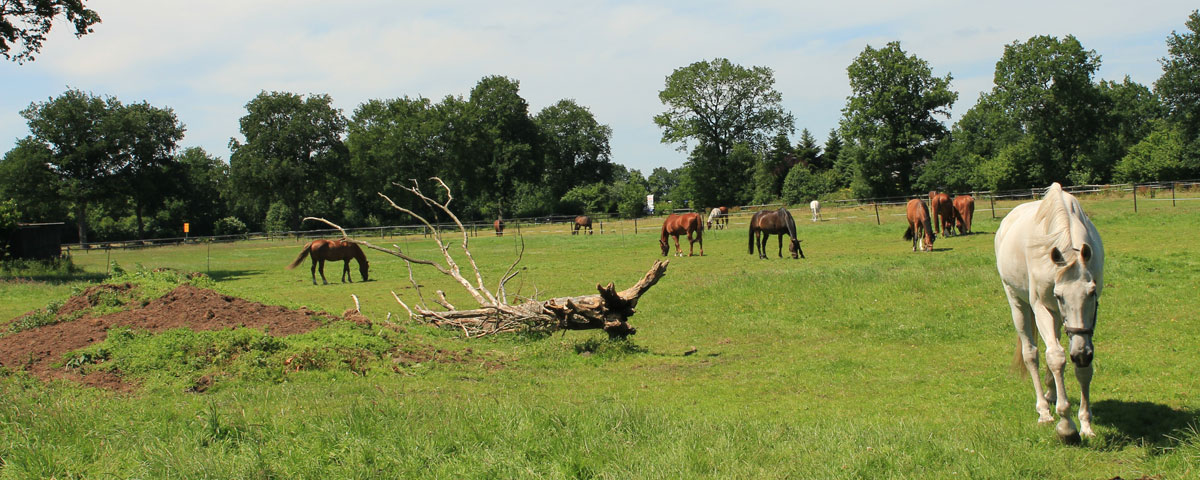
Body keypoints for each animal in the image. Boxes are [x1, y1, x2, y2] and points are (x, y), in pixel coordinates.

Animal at [993, 182, 1104, 441]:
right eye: (1059, 295)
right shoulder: (1043, 307)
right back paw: (1044, 410)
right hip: (1019, 304)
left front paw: (1086, 424)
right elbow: (1055, 357)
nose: (1081, 354)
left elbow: (1081, 365)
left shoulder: (1083, 326)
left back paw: (1052, 394)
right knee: (1032, 354)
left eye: (1092, 292)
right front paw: (1066, 425)